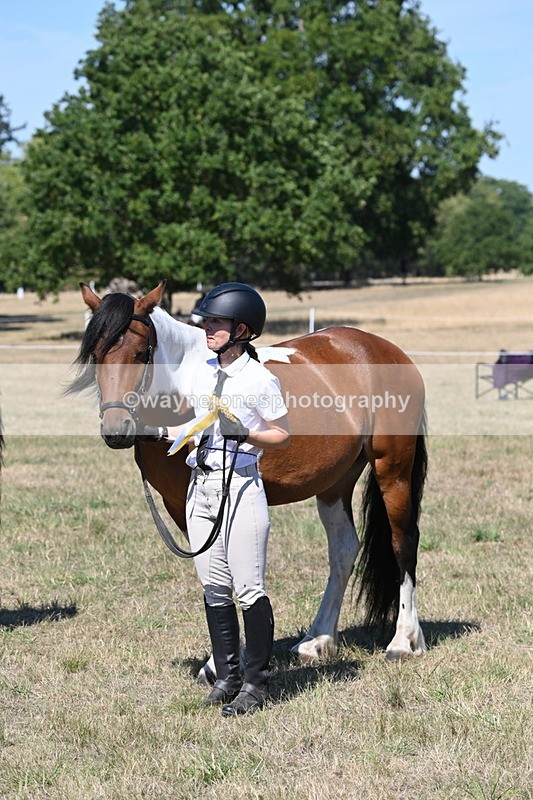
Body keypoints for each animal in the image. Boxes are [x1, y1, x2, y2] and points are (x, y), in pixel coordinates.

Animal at [69, 281, 428, 665]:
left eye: (140, 353)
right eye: (95, 353)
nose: (117, 431)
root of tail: (388, 351)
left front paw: (223, 662)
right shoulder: (182, 506)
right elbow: (213, 574)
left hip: (392, 470)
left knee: (403, 542)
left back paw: (404, 640)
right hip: (336, 483)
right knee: (344, 550)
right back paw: (317, 639)